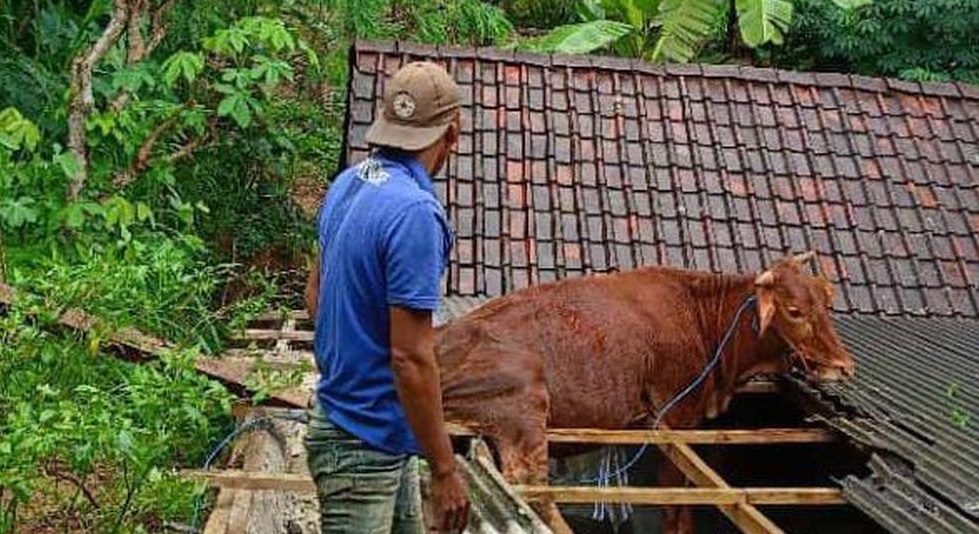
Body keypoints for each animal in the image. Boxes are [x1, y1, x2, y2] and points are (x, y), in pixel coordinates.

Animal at [436, 253, 856, 532]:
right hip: (525, 405)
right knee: (530, 486)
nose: (843, 366)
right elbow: (675, 504)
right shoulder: (676, 418)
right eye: (794, 310)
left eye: (825, 304)